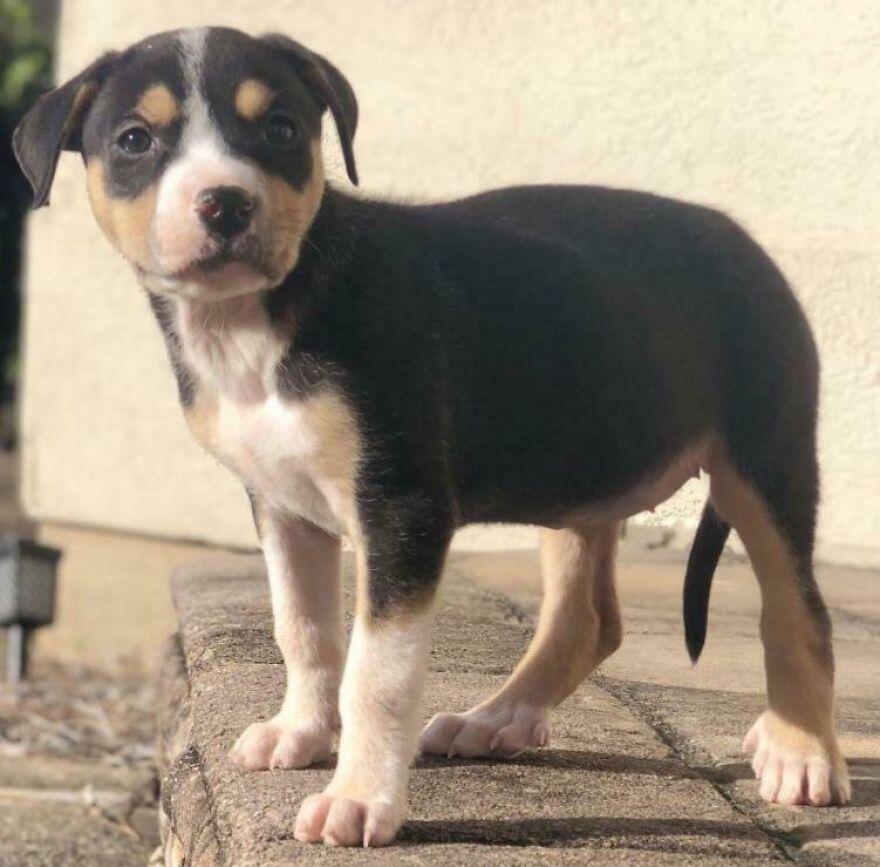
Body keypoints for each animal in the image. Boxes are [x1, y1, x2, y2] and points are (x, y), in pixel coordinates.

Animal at [15, 25, 852, 848]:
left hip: (766, 459)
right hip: (578, 470)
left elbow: (375, 673)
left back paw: (801, 750)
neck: (259, 321)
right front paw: (301, 731)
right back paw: (499, 718)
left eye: (281, 128)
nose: (225, 203)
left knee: (798, 610)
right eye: (134, 139)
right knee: (585, 620)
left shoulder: (401, 508)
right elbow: (302, 627)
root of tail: (746, 241)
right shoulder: (280, 507)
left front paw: (358, 797)